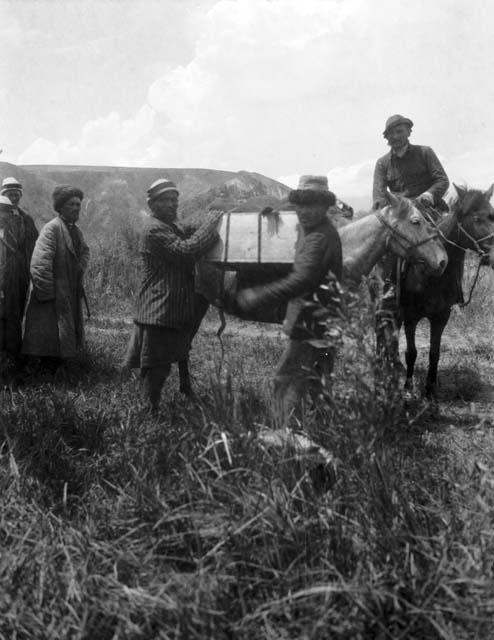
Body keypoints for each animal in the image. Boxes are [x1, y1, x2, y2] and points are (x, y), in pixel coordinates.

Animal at [400, 182, 494, 398]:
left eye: (492, 215)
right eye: (476, 218)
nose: (493, 256)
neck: (431, 271)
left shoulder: (441, 316)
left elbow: (434, 353)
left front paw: (430, 389)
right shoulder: (410, 316)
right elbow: (411, 352)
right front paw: (408, 388)